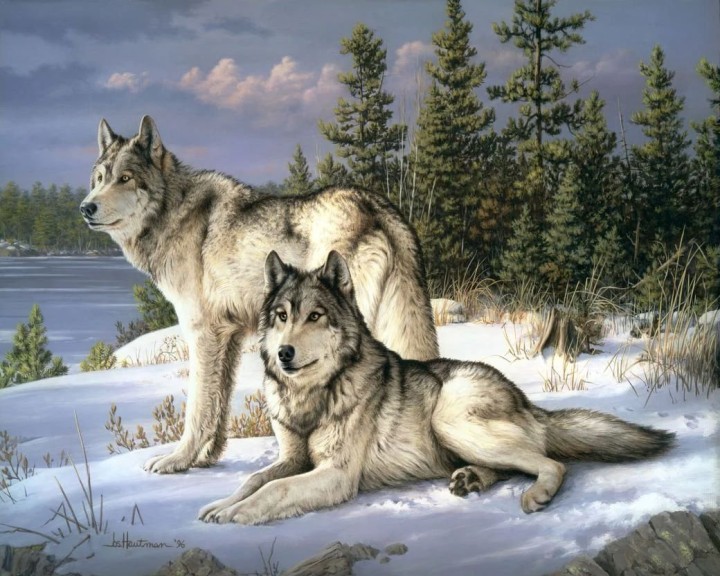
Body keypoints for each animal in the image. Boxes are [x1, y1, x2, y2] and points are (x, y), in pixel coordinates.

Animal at [79, 116, 438, 474]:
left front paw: (177, 460)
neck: (173, 212)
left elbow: (197, 407)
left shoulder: (202, 334)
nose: (86, 207)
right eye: (100, 178)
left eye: (125, 178)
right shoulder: (229, 337)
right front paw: (206, 458)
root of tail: (376, 205)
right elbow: (218, 405)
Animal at [199, 251, 675, 524]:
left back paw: (534, 495)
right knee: (518, 464)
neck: (312, 396)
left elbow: (273, 490)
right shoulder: (292, 459)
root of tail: (525, 400)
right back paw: (471, 479)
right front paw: (221, 505)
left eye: (315, 316)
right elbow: (255, 479)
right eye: (281, 316)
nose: (284, 354)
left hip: (451, 420)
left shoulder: (336, 474)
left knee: (552, 464)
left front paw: (237, 515)